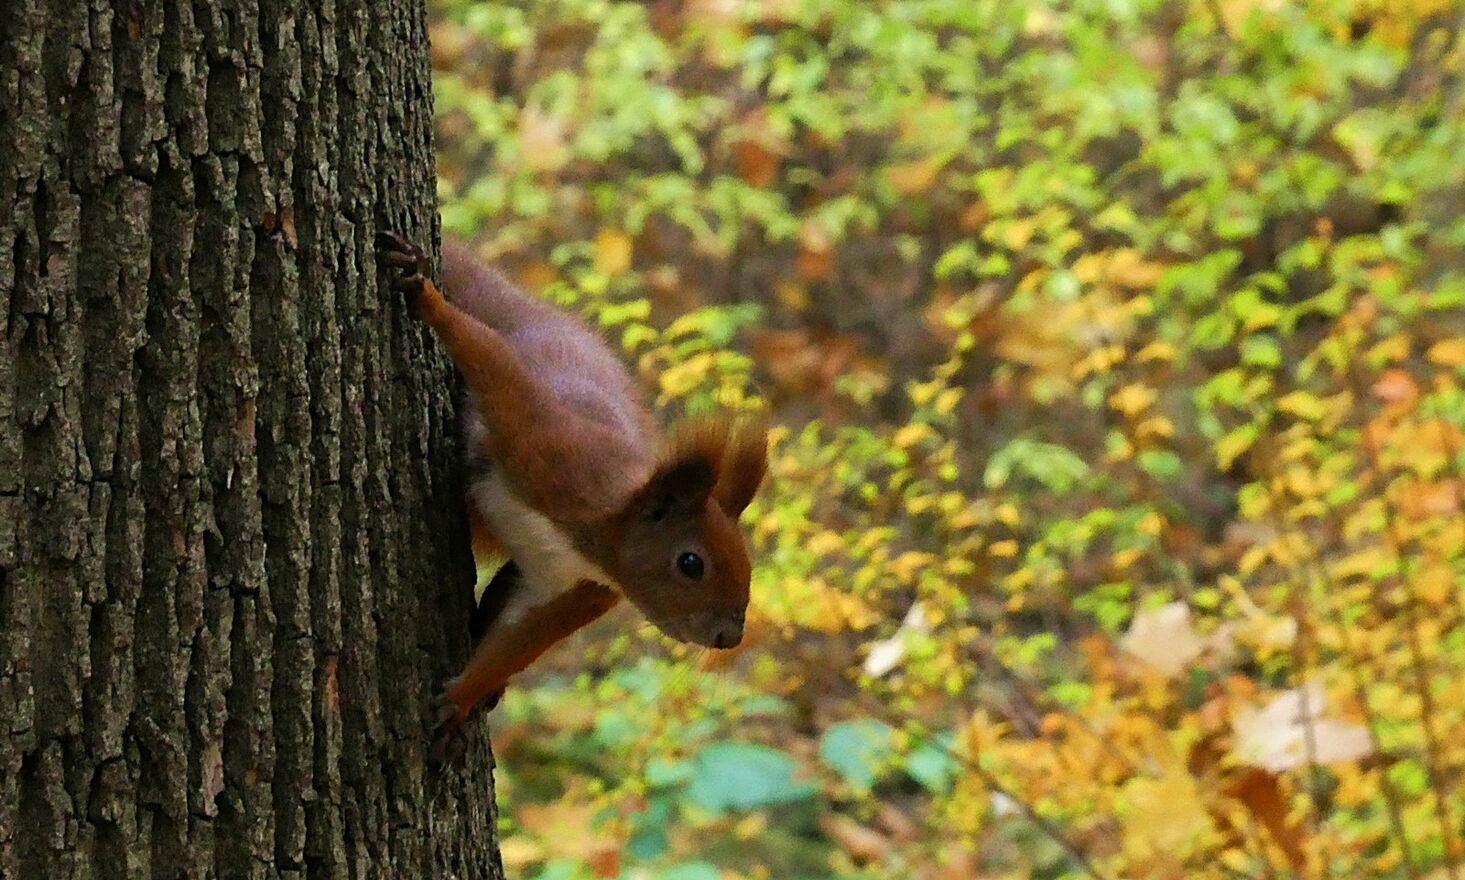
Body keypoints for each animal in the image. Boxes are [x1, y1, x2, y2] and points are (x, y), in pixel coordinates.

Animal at [377, 231, 767, 760]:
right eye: (691, 563)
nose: (729, 636)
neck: (593, 542)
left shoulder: (575, 591)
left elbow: (520, 639)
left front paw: (463, 697)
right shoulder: (552, 448)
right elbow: (491, 360)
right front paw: (425, 298)